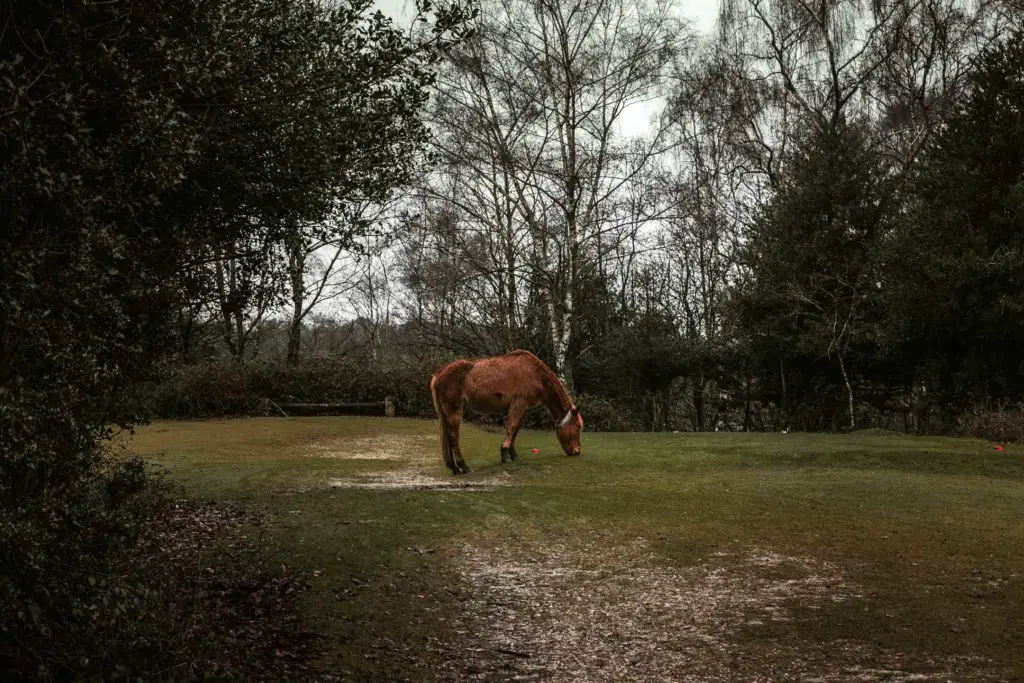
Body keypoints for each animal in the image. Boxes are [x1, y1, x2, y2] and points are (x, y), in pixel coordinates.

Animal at [428, 350, 585, 473]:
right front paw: (504, 452)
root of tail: (438, 375)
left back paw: (454, 467)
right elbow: (512, 426)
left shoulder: (524, 407)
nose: (577, 451)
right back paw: (463, 466)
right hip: (454, 411)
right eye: (577, 427)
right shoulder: (519, 403)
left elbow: (516, 429)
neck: (534, 373)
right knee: (453, 436)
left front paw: (512, 454)